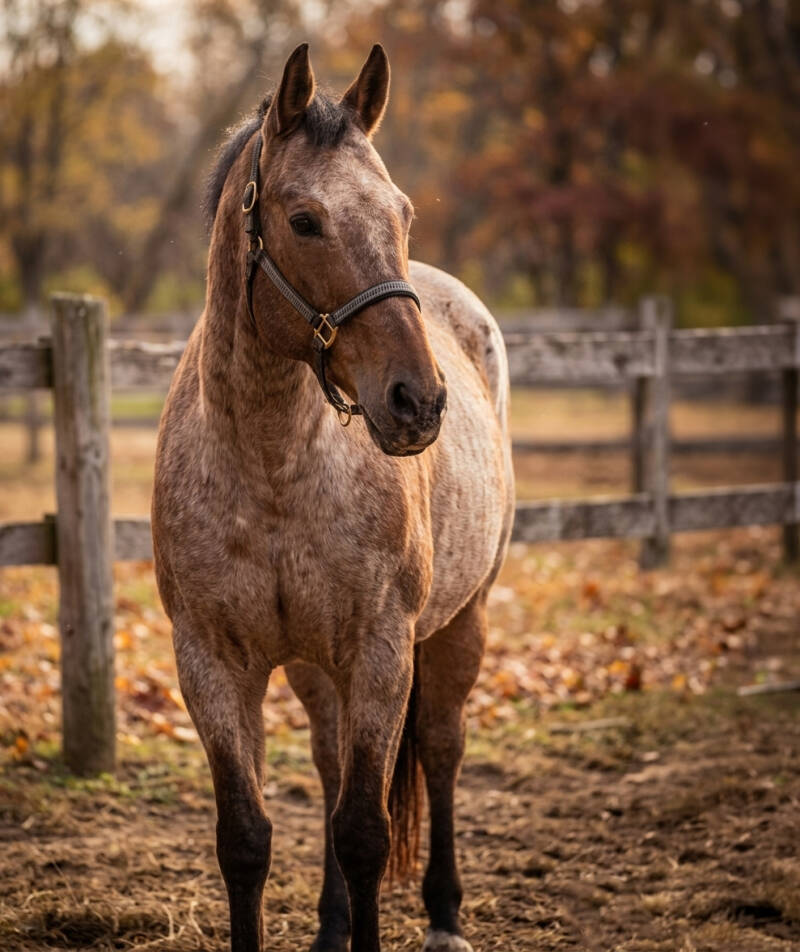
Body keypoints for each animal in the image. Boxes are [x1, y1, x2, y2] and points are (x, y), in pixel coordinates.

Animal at [151, 43, 513, 952]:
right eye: (304, 220)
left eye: (403, 212)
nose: (417, 401)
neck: (272, 464)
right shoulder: (211, 663)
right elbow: (245, 839)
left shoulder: (381, 654)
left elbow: (363, 832)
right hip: (316, 668)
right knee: (325, 760)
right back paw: (327, 925)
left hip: (460, 624)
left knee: (443, 747)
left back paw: (445, 913)